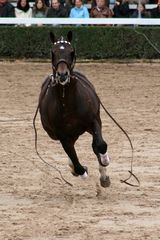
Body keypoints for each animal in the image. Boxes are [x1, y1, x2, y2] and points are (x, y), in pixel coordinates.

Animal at [37, 30, 110, 188]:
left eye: (71, 52)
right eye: (53, 52)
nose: (62, 75)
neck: (68, 103)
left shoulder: (94, 121)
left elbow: (100, 145)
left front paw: (104, 164)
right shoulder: (62, 134)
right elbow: (74, 159)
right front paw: (81, 171)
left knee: (94, 145)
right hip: (61, 134)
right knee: (72, 150)